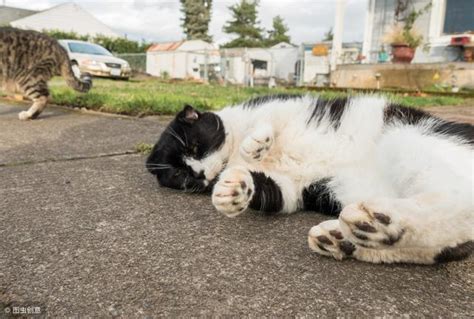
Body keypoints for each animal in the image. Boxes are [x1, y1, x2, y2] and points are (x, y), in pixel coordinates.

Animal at [146, 95, 472, 264]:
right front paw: (232, 190)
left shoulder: (284, 107)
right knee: (452, 242)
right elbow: (268, 190)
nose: (199, 174)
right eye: (180, 175)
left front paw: (255, 144)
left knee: (458, 203)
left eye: (194, 147)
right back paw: (347, 238)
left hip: (408, 139)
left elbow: (267, 120)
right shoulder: (290, 188)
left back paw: (377, 222)